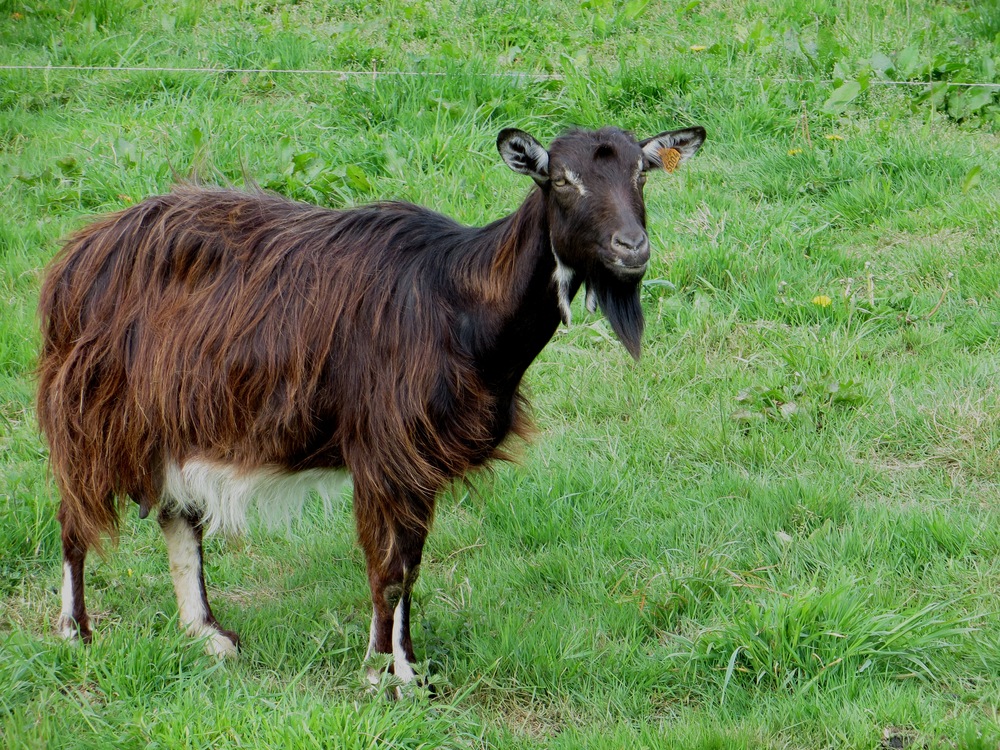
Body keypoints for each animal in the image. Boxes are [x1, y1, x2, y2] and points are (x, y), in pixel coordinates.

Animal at [37, 125, 704, 688]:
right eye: (562, 179)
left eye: (642, 175)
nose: (632, 247)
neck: (460, 304)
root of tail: (75, 257)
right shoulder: (385, 449)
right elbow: (389, 566)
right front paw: (383, 674)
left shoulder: (419, 461)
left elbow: (410, 562)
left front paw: (404, 666)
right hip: (92, 411)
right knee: (73, 514)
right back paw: (75, 634)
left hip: (171, 416)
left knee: (178, 514)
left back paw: (207, 634)